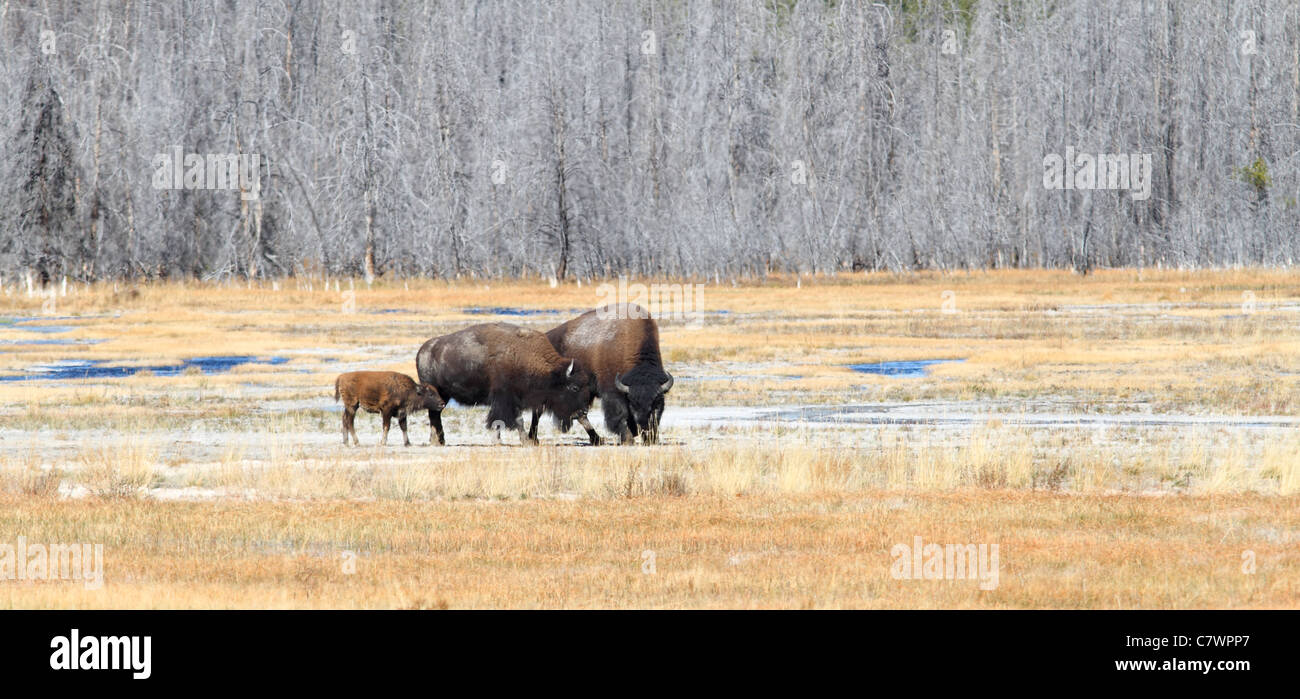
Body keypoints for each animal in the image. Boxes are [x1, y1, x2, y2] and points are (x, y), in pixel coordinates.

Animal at [415, 322, 599, 445]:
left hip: (443, 396)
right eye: (574, 387)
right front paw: (525, 441)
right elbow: (515, 420)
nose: (582, 412)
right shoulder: (506, 398)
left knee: (435, 415)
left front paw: (500, 441)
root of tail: (423, 351)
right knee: (434, 415)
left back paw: (438, 440)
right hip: (437, 393)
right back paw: (437, 441)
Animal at [545, 303, 673, 444]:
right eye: (633, 402)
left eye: (657, 402)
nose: (645, 426)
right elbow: (619, 414)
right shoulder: (612, 392)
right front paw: (628, 439)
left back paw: (597, 440)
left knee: (580, 415)